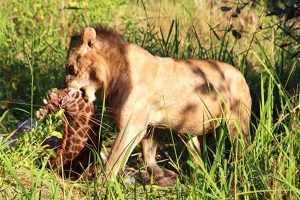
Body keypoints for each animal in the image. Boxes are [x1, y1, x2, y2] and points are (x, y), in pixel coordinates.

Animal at [64, 25, 252, 186]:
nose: (65, 86)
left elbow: (114, 159)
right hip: (190, 133)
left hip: (237, 123)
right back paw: (197, 179)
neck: (115, 73)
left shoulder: (131, 126)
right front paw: (161, 175)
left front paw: (102, 184)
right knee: (196, 157)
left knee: (243, 149)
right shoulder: (149, 126)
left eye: (70, 68)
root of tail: (240, 73)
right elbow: (148, 154)